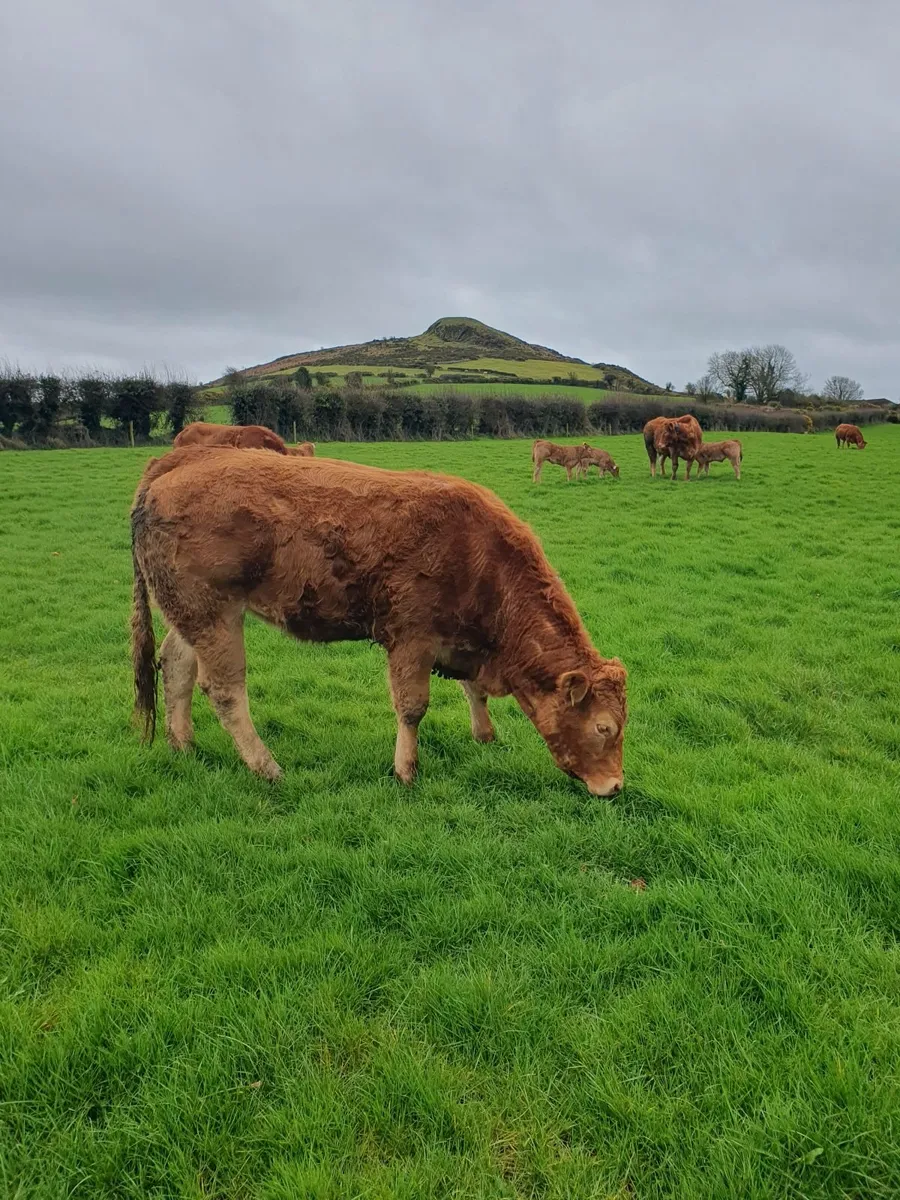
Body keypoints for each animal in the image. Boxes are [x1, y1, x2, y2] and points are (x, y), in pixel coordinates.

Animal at [131, 448, 627, 796]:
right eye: (604, 728)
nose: (616, 786)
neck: (479, 555)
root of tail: (178, 462)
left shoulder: (463, 640)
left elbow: (475, 691)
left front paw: (484, 735)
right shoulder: (412, 639)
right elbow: (412, 708)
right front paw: (406, 770)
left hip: (193, 613)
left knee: (175, 664)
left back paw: (183, 744)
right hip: (215, 615)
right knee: (224, 690)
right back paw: (266, 766)